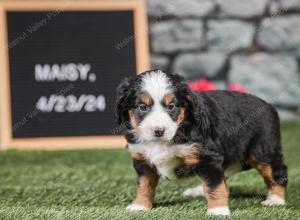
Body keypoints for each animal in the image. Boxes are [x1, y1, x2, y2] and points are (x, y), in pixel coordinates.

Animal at [115, 69, 288, 216]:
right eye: (142, 107)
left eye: (171, 106)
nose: (159, 131)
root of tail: (268, 105)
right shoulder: (142, 159)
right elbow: (144, 185)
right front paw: (140, 206)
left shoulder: (207, 157)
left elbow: (214, 185)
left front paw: (218, 210)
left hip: (263, 151)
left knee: (277, 172)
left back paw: (275, 200)